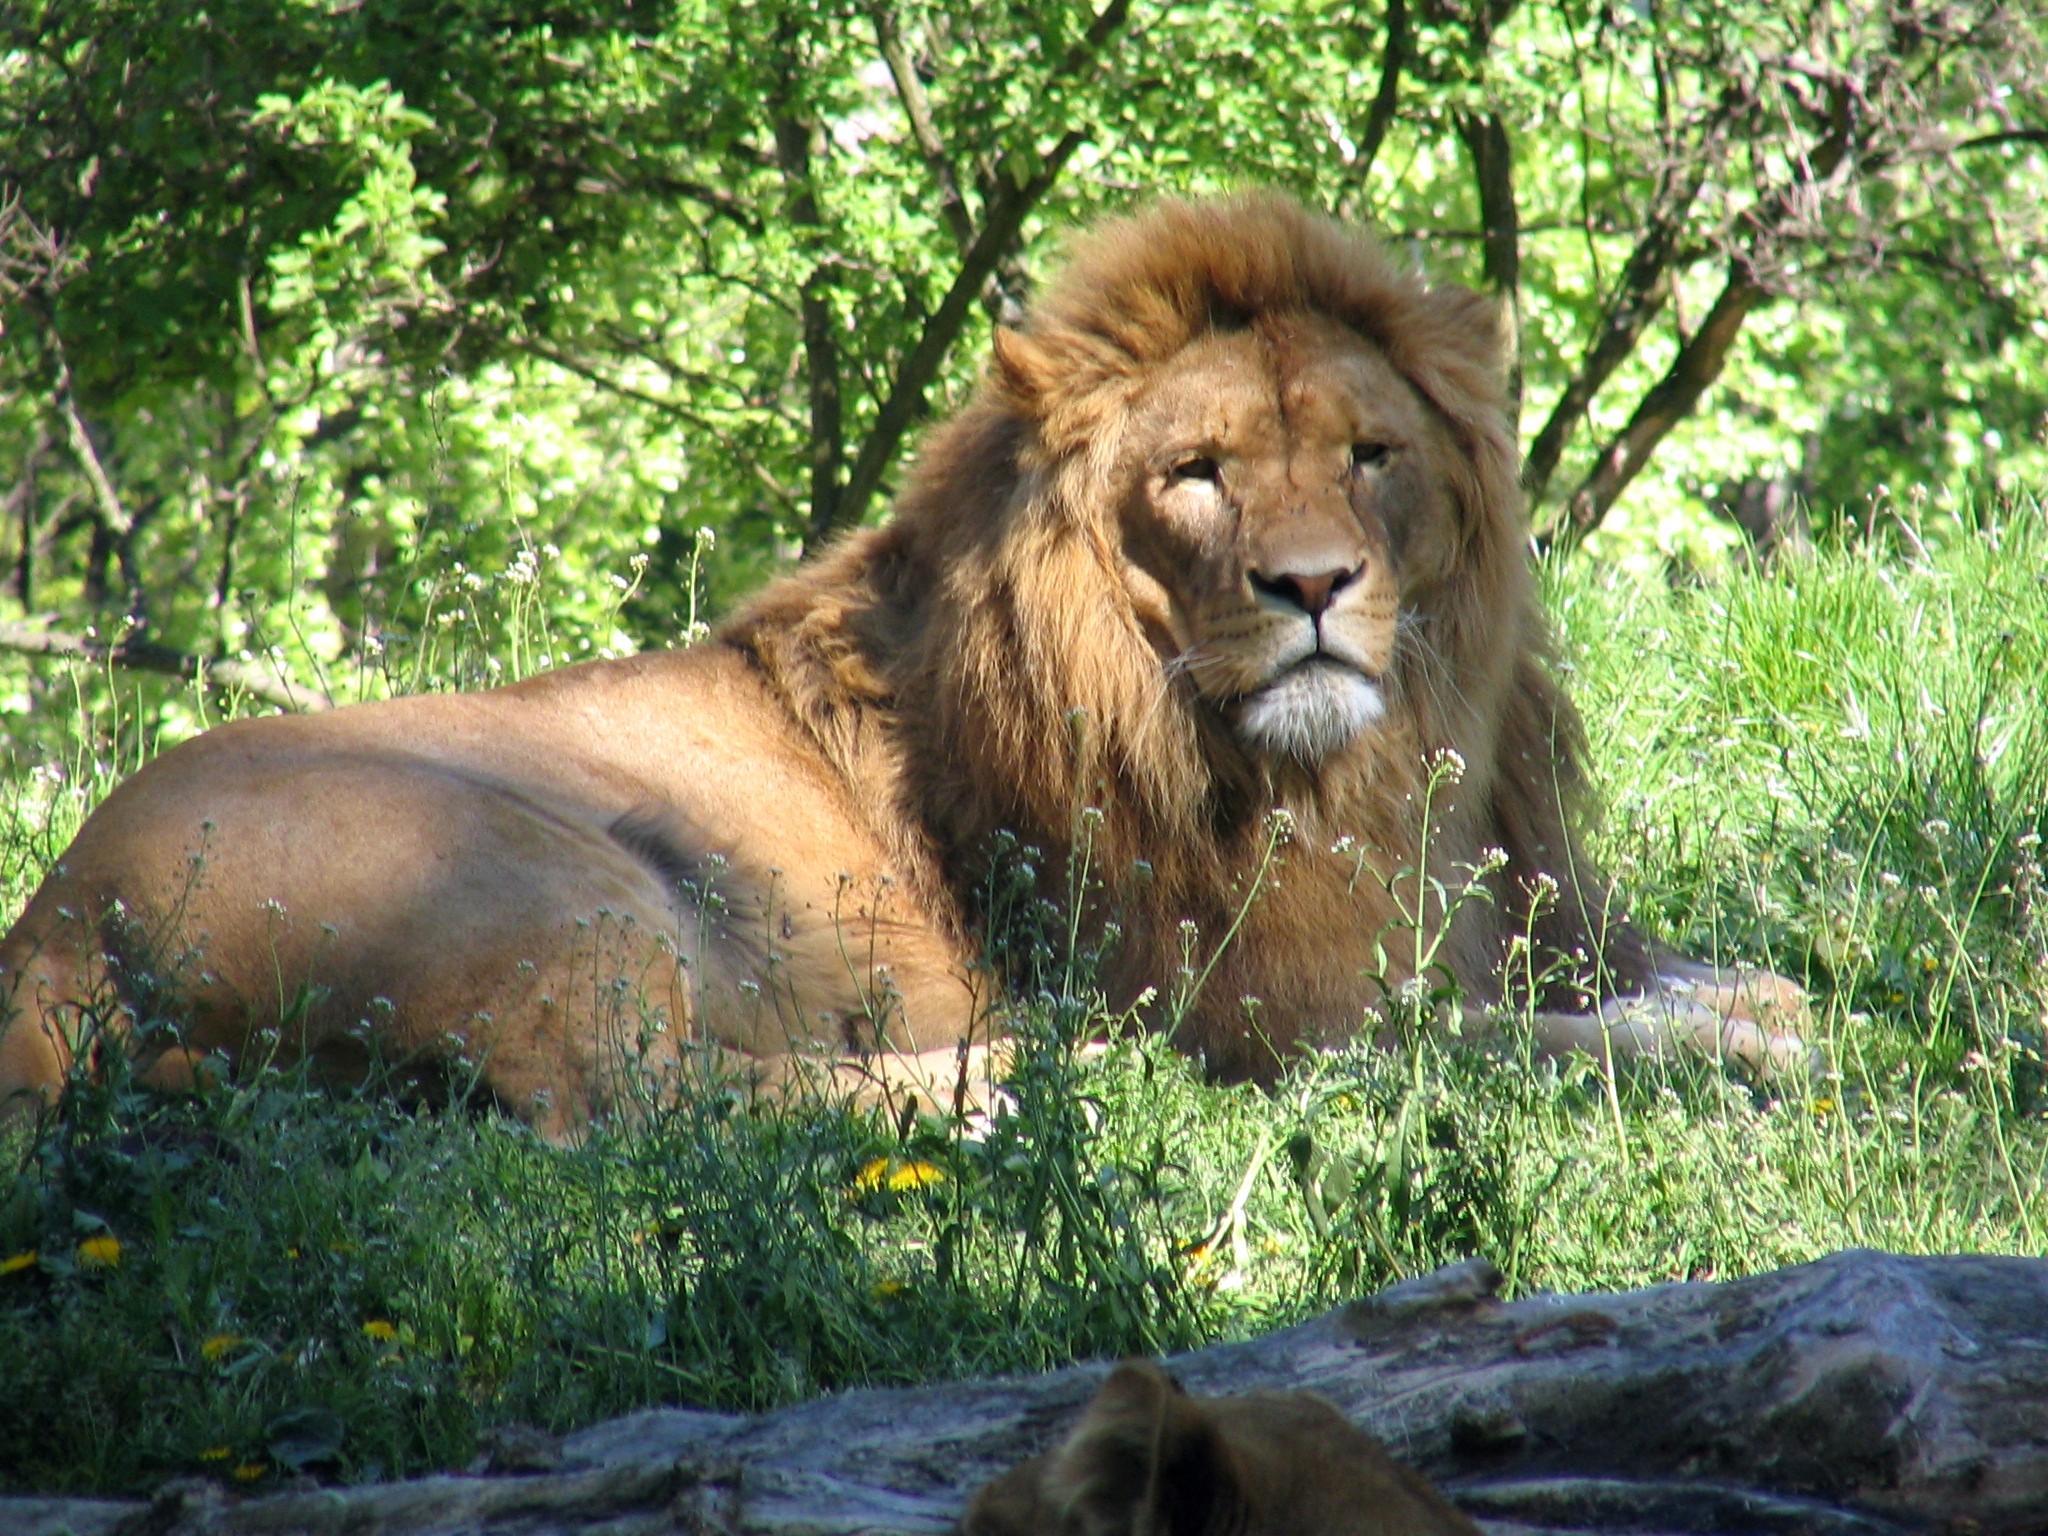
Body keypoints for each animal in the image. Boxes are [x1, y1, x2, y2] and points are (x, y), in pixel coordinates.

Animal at [0, 192, 1802, 1138]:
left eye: (1370, 454)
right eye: (1198, 473)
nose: (1311, 587)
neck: (1366, 758)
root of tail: (46, 931)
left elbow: (1647, 975)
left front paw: (1761, 989)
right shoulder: (1282, 1016)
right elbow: (1508, 1041)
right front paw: (1753, 1040)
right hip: (550, 878)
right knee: (647, 1110)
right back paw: (1051, 1076)